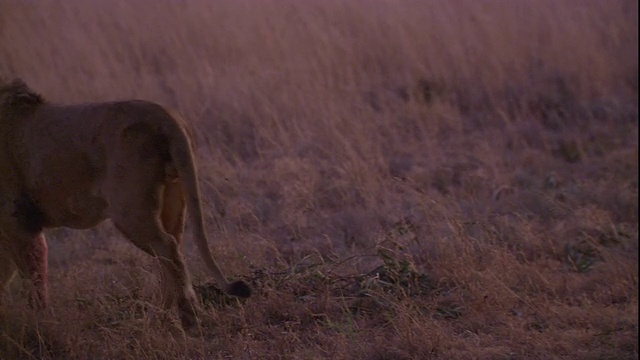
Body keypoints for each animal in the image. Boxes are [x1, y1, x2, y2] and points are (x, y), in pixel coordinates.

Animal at [0, 79, 250, 330]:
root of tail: (164, 113)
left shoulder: (18, 221)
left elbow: (33, 278)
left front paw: (40, 324)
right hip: (174, 196)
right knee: (172, 251)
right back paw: (159, 317)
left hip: (129, 210)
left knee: (167, 247)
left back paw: (188, 319)